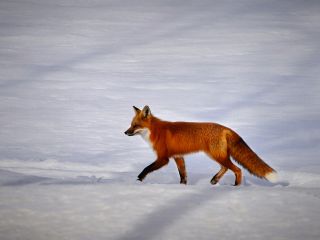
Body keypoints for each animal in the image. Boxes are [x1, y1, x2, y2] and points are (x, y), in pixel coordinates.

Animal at [124, 105, 276, 186]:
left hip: (216, 155)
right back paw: (215, 180)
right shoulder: (178, 157)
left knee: (237, 169)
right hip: (216, 155)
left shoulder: (163, 158)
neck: (155, 131)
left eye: (135, 125)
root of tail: (225, 128)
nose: (125, 132)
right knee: (226, 167)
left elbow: (146, 168)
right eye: (131, 125)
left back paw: (236, 186)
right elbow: (183, 175)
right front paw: (182, 187)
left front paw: (139, 179)